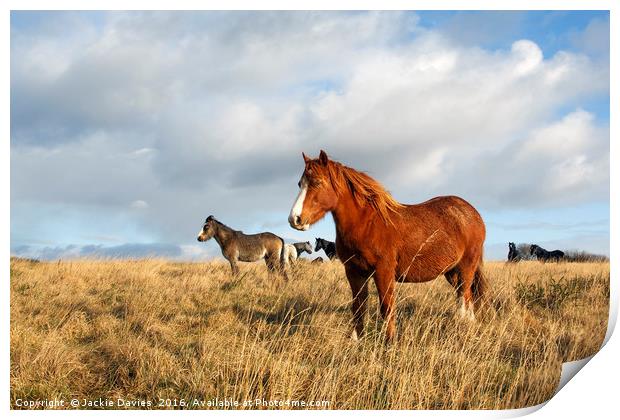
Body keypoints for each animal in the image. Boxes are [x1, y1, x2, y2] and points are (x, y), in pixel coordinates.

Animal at [288, 151, 486, 342]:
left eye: (317, 182)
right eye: (299, 184)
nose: (294, 219)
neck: (366, 224)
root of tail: (473, 213)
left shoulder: (384, 271)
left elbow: (386, 307)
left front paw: (389, 342)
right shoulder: (354, 272)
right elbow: (358, 306)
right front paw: (356, 339)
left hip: (466, 267)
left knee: (463, 297)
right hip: (451, 271)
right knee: (466, 296)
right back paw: (470, 325)